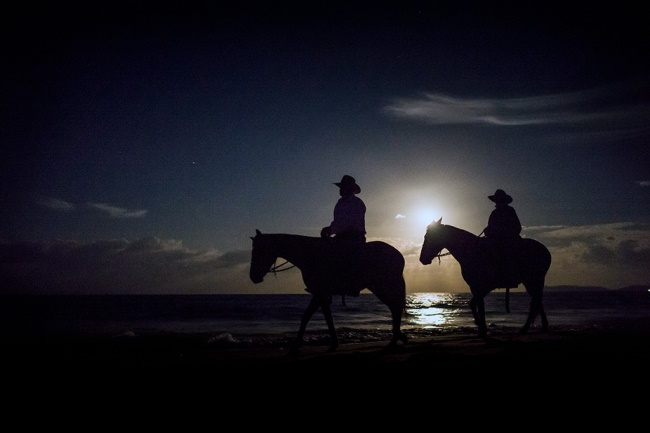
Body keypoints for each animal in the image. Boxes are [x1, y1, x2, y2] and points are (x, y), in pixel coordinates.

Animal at [248, 228, 404, 352]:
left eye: (259, 250)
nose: (253, 277)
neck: (310, 255)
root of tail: (399, 256)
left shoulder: (319, 293)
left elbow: (308, 316)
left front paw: (296, 345)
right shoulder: (321, 294)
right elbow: (323, 317)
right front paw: (333, 343)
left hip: (383, 287)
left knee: (395, 308)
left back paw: (394, 340)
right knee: (395, 308)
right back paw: (397, 338)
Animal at [418, 218, 548, 336]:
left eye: (430, 237)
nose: (422, 259)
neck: (471, 251)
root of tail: (545, 251)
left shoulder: (485, 286)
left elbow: (478, 305)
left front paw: (482, 328)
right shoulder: (475, 287)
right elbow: (475, 304)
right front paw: (481, 326)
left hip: (532, 281)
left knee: (536, 302)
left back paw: (526, 329)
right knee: (537, 301)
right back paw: (542, 327)